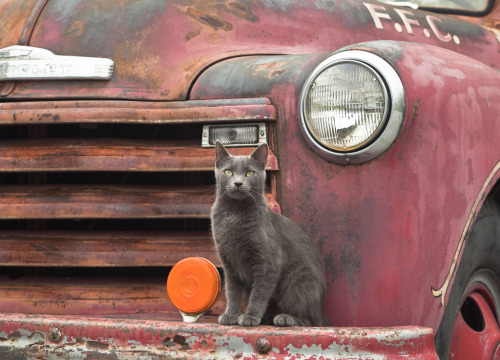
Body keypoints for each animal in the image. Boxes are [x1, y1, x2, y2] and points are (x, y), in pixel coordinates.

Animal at [210, 142, 328, 328]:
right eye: (228, 172)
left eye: (249, 173)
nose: (238, 183)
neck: (234, 214)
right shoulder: (229, 263)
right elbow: (232, 291)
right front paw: (231, 315)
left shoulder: (268, 263)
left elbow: (259, 293)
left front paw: (250, 316)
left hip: (298, 279)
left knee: (310, 320)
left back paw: (284, 318)